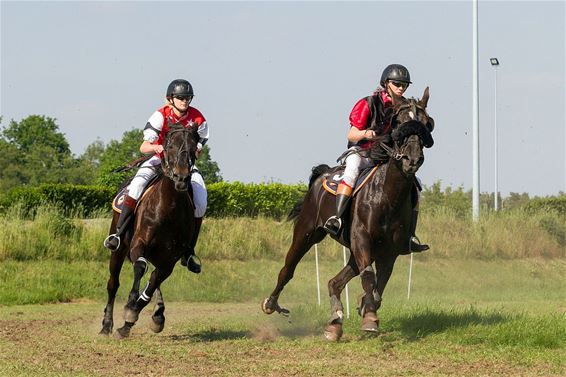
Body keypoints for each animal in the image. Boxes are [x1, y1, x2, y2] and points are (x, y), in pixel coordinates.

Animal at [101, 123, 201, 338]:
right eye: (170, 146)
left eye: (193, 147)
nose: (181, 177)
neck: (169, 207)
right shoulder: (138, 244)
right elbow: (140, 267)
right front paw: (131, 304)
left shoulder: (170, 259)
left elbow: (154, 280)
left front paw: (131, 317)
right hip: (119, 249)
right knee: (113, 283)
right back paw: (106, 325)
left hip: (158, 255)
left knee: (154, 278)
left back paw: (157, 314)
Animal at [264, 86, 438, 340]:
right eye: (399, 123)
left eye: (426, 123)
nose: (412, 160)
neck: (387, 196)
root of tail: (323, 174)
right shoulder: (361, 239)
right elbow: (369, 278)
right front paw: (370, 319)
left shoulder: (389, 251)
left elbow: (378, 286)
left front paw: (365, 307)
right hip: (307, 233)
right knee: (288, 269)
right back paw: (271, 303)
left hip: (355, 250)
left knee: (334, 282)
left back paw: (335, 321)